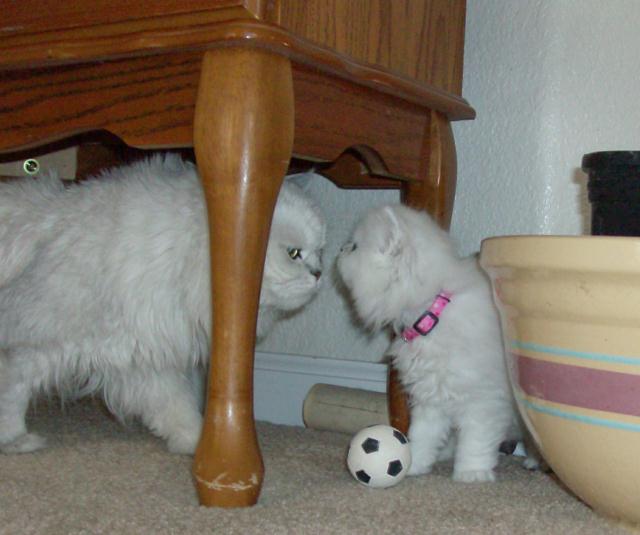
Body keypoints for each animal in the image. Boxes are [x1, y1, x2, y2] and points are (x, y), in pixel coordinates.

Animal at [0, 154, 326, 455]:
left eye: (319, 252)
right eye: (294, 254)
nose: (319, 274)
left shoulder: (141, 356)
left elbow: (175, 408)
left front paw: (199, 445)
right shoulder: (42, 344)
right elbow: (12, 390)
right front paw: (14, 440)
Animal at [337, 204, 536, 482]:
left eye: (354, 247)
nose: (340, 249)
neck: (432, 311)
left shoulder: (483, 400)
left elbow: (475, 441)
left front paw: (471, 473)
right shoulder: (430, 396)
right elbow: (421, 437)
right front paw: (413, 465)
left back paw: (533, 462)